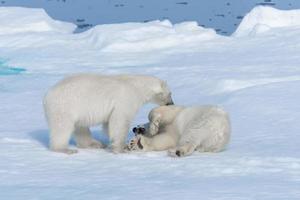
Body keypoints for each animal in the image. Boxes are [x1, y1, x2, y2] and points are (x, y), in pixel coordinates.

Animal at [43, 74, 172, 154]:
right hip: (65, 106)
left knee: (81, 127)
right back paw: (65, 149)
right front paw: (121, 148)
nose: (171, 103)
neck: (137, 86)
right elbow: (120, 120)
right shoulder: (126, 99)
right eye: (170, 93)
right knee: (62, 127)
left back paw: (95, 144)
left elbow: (109, 124)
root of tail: (47, 95)